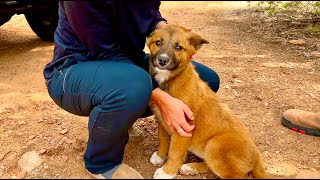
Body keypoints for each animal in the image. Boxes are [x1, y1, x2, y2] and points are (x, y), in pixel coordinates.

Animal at [148, 24, 296, 179]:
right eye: (158, 42)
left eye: (178, 47)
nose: (162, 60)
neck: (170, 80)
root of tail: (257, 157)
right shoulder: (162, 119)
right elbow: (163, 140)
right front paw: (160, 156)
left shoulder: (184, 127)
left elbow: (174, 153)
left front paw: (167, 172)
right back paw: (191, 167)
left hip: (215, 145)